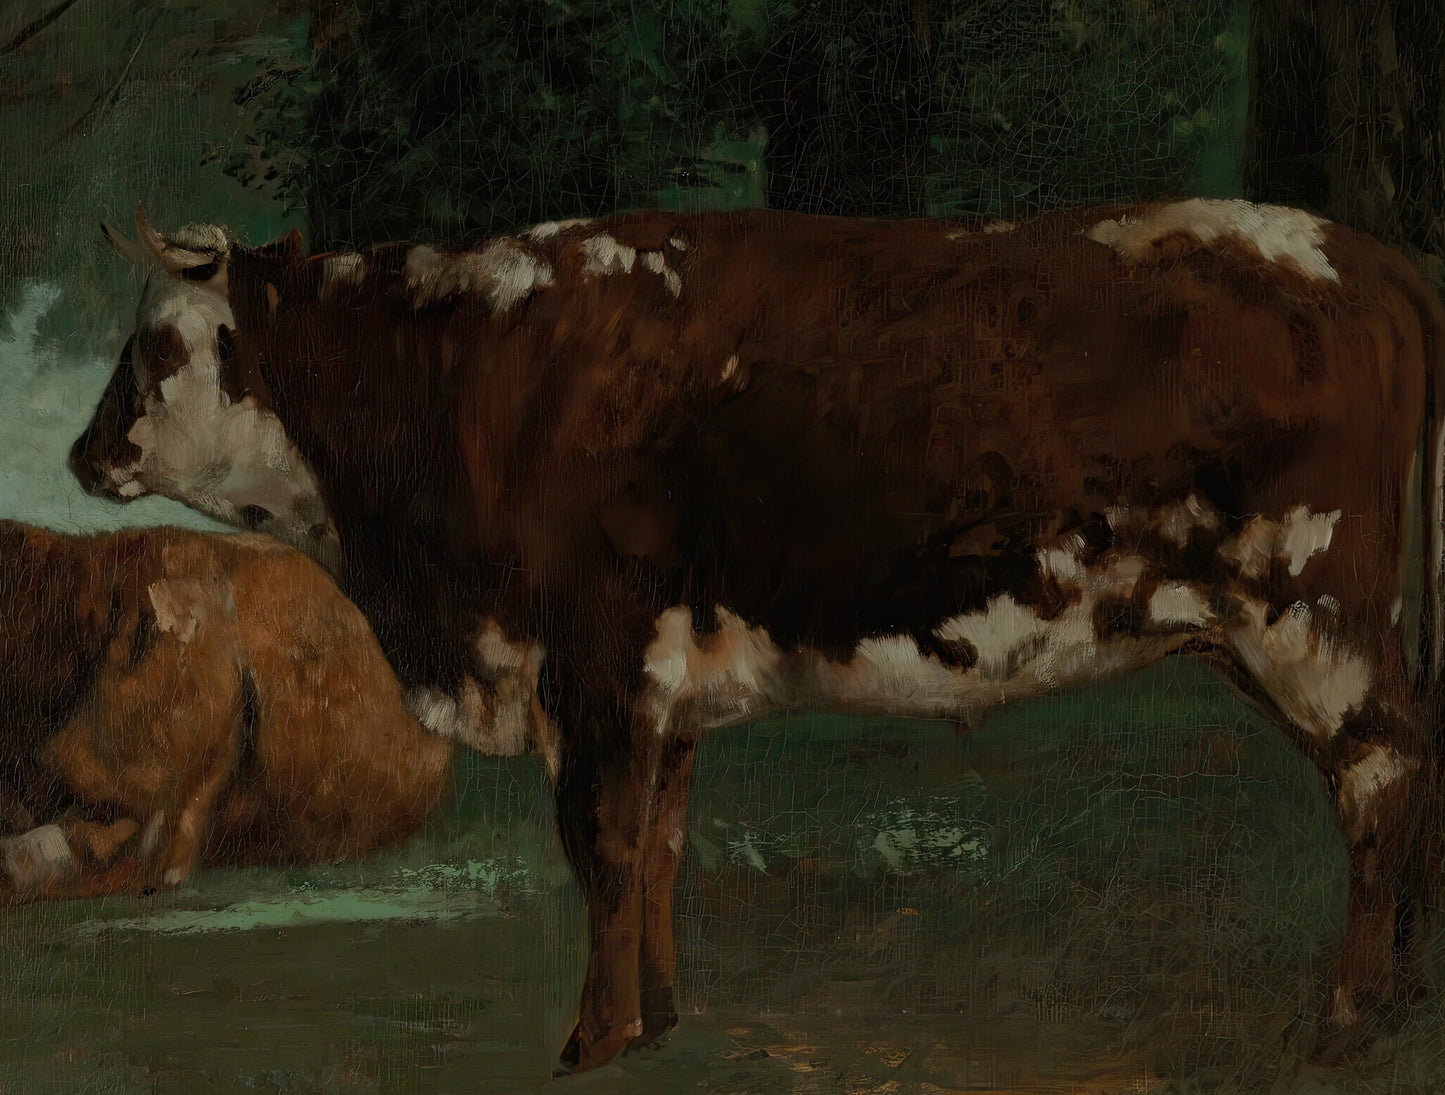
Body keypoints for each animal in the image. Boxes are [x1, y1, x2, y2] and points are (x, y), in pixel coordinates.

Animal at [71, 200, 1445, 1071]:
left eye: (155, 345)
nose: (84, 455)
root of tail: (1363, 256)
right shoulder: (665, 690)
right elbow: (659, 851)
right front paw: (658, 1021)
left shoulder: (598, 666)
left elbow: (602, 849)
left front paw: (589, 1042)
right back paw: (1396, 998)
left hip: (1310, 615)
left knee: (1381, 777)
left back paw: (1344, 1012)